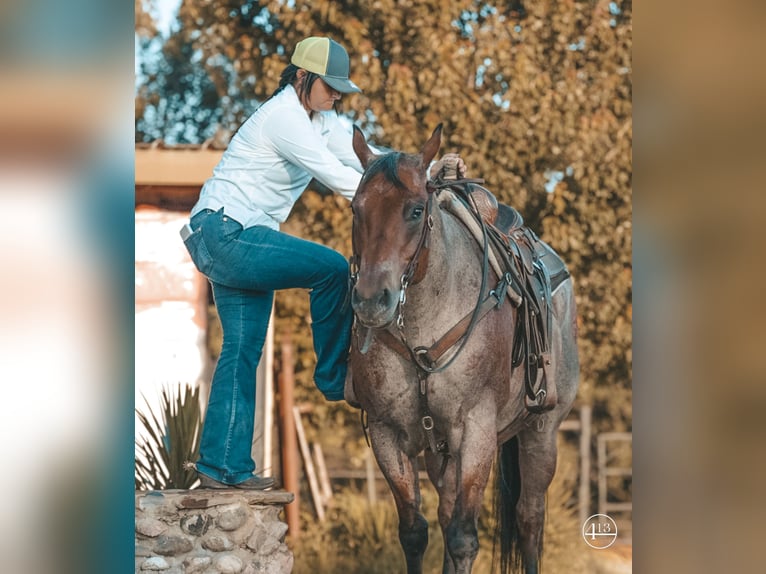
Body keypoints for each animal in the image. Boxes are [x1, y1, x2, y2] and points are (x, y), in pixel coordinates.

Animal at [350, 126, 584, 574]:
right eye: (356, 208)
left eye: (416, 211)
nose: (371, 301)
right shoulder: (388, 434)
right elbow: (415, 531)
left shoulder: (475, 431)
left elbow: (463, 538)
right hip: (441, 453)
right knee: (446, 512)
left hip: (541, 432)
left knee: (529, 519)